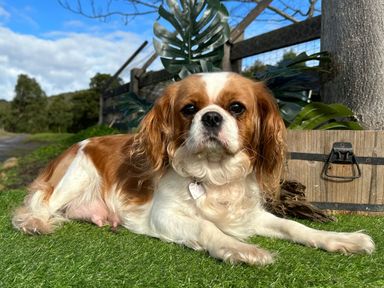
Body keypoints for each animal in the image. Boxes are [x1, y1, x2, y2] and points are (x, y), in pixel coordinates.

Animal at [13, 72, 374, 266]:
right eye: (189, 109)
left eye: (237, 108)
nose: (211, 117)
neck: (214, 174)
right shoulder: (165, 216)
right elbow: (207, 227)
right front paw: (240, 248)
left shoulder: (249, 215)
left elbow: (295, 227)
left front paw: (342, 239)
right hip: (77, 173)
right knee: (40, 206)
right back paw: (34, 223)